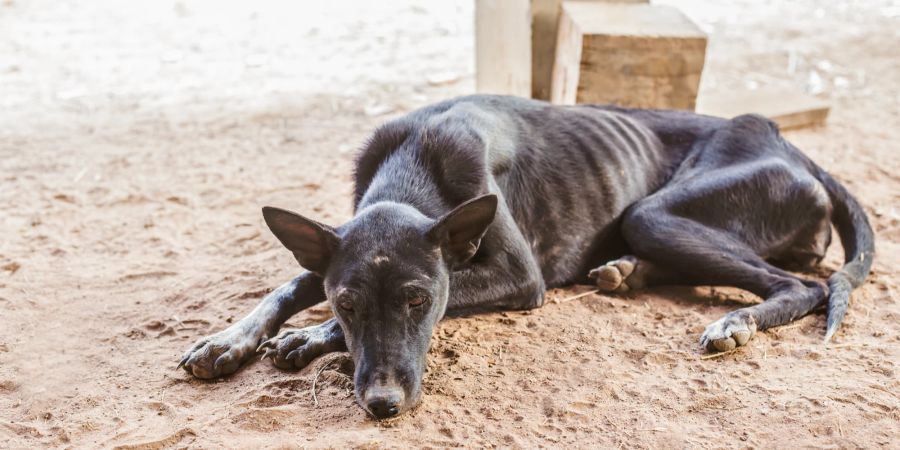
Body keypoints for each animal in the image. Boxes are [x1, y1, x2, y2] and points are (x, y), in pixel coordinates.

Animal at [176, 94, 872, 418]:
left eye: (418, 300)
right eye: (348, 303)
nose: (382, 405)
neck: (416, 158)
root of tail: (787, 141)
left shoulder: (518, 277)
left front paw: (308, 338)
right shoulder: (335, 253)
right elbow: (294, 283)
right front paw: (228, 340)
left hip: (654, 213)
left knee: (805, 286)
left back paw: (735, 321)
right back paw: (625, 272)